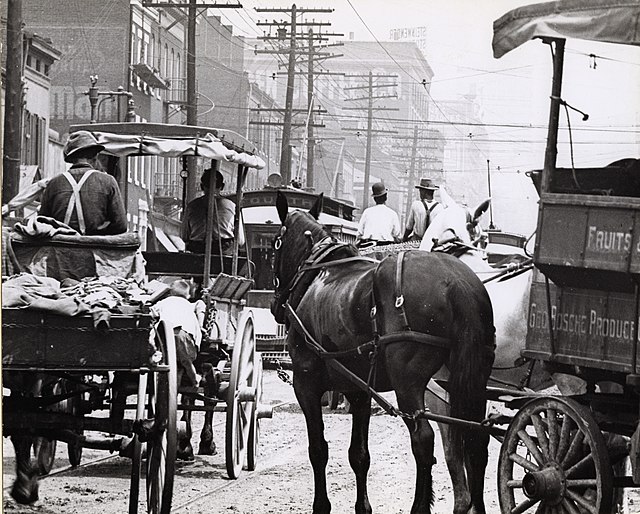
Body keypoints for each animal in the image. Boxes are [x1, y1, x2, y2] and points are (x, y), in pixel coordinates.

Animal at [270, 192, 496, 512]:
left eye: (275, 245)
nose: (276, 306)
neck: (318, 276)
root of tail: (458, 283)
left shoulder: (305, 384)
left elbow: (318, 450)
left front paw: (321, 504)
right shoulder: (358, 391)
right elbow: (359, 455)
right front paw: (362, 506)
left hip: (408, 384)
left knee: (423, 441)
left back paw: (419, 506)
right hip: (471, 380)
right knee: (476, 440)